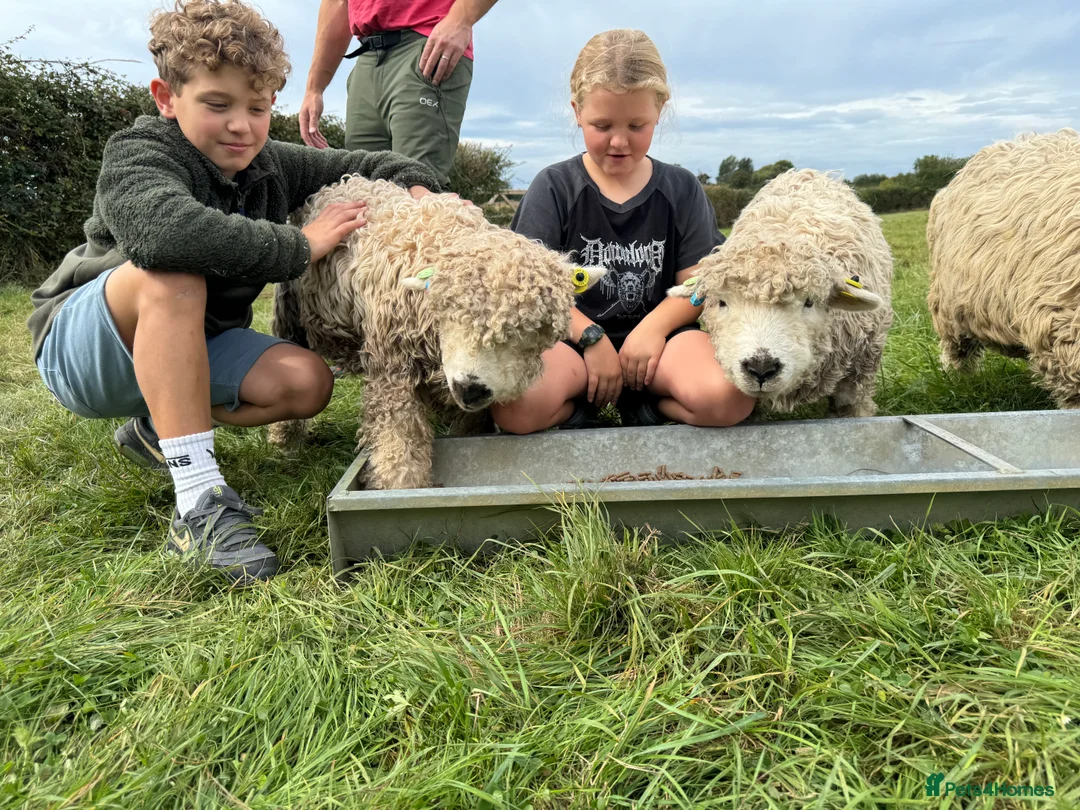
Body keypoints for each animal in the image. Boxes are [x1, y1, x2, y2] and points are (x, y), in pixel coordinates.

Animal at [268, 175, 606, 490]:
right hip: (291, 316)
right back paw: (287, 442)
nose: (471, 389)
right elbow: (399, 437)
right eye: (448, 314)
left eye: (533, 332)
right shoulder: (391, 368)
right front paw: (399, 485)